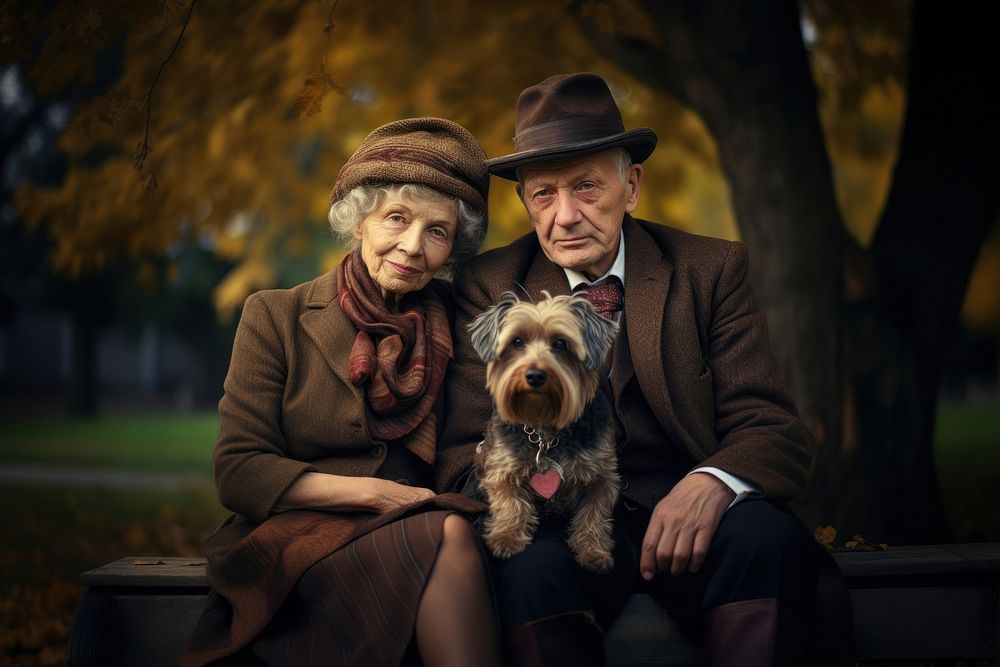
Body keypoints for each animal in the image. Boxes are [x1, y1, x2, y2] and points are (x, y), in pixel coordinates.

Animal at [466, 292, 616, 576]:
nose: (535, 375)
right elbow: (509, 500)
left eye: (560, 343)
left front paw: (593, 551)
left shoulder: (601, 474)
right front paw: (506, 538)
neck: (544, 428)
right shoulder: (500, 466)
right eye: (516, 341)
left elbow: (594, 512)